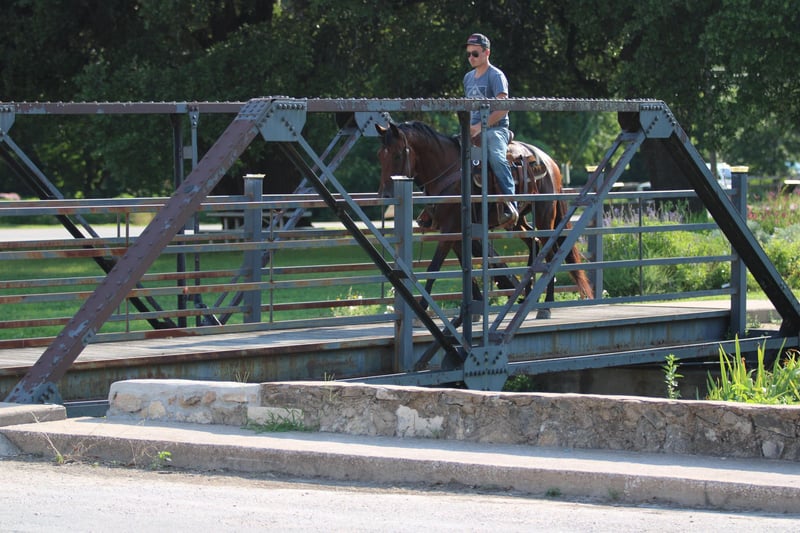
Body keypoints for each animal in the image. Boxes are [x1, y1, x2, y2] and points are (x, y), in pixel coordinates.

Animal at [375, 120, 593, 319]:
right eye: (380, 156)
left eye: (397, 154)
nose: (385, 196)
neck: (449, 169)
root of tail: (549, 161)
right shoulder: (456, 232)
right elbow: (465, 268)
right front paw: (473, 310)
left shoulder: (450, 230)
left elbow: (434, 267)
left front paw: (422, 310)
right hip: (518, 222)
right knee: (535, 243)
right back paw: (528, 294)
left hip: (544, 217)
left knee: (550, 253)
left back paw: (546, 306)